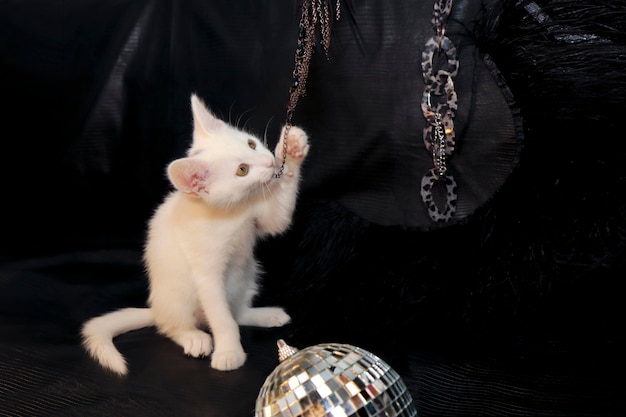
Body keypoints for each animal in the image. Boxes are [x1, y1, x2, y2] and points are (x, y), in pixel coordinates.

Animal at [80, 94, 310, 374]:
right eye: (242, 170)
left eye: (251, 143)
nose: (269, 162)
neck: (233, 212)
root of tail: (156, 309)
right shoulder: (206, 273)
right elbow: (222, 319)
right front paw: (229, 353)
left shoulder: (260, 216)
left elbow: (278, 220)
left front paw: (293, 149)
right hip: (177, 295)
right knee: (171, 326)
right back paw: (193, 337)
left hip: (246, 276)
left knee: (236, 312)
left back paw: (265, 314)